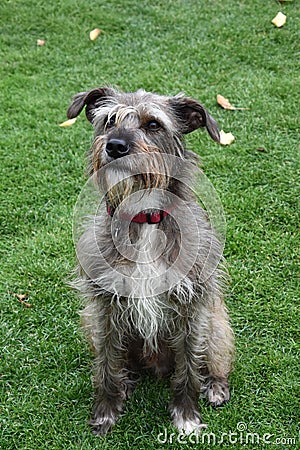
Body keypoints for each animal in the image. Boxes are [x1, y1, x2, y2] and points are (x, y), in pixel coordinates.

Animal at [66, 88, 234, 436]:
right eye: (109, 120)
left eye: (153, 124)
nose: (115, 146)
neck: (144, 219)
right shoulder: (103, 308)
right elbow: (106, 365)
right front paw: (105, 413)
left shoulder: (192, 308)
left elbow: (188, 369)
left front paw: (186, 417)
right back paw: (127, 382)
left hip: (216, 321)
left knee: (216, 359)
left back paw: (216, 385)